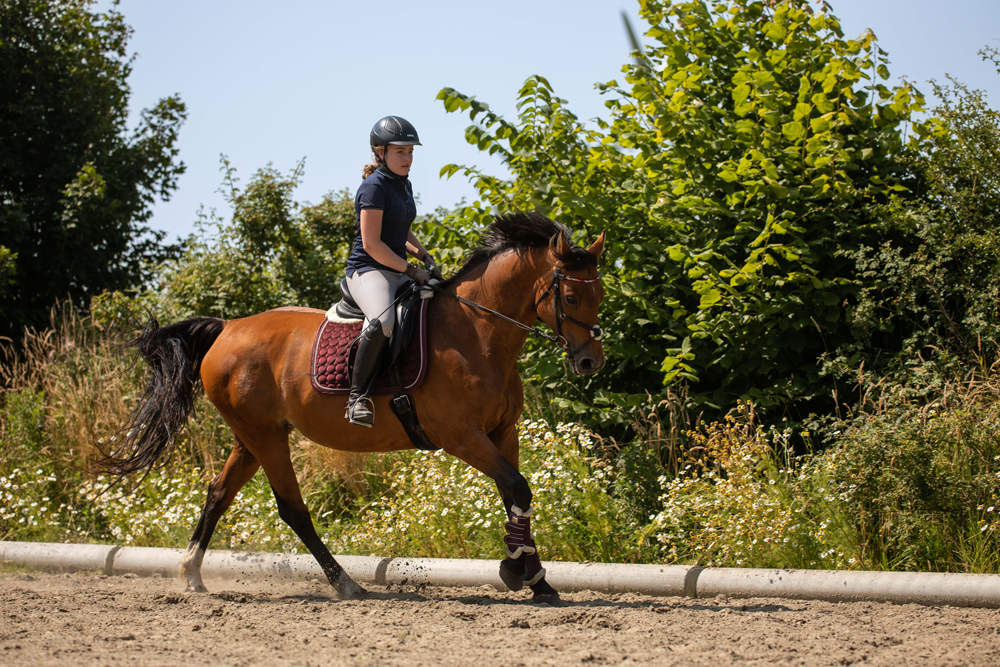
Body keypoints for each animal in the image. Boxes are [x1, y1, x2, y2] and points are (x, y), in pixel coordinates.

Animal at [103, 211, 600, 604]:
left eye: (599, 295)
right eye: (572, 297)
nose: (590, 361)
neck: (479, 332)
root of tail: (227, 328)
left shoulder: (502, 433)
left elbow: (517, 494)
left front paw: (537, 580)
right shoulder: (462, 437)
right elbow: (517, 488)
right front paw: (516, 572)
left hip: (252, 436)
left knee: (218, 494)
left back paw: (191, 574)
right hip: (264, 435)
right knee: (292, 509)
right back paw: (346, 584)